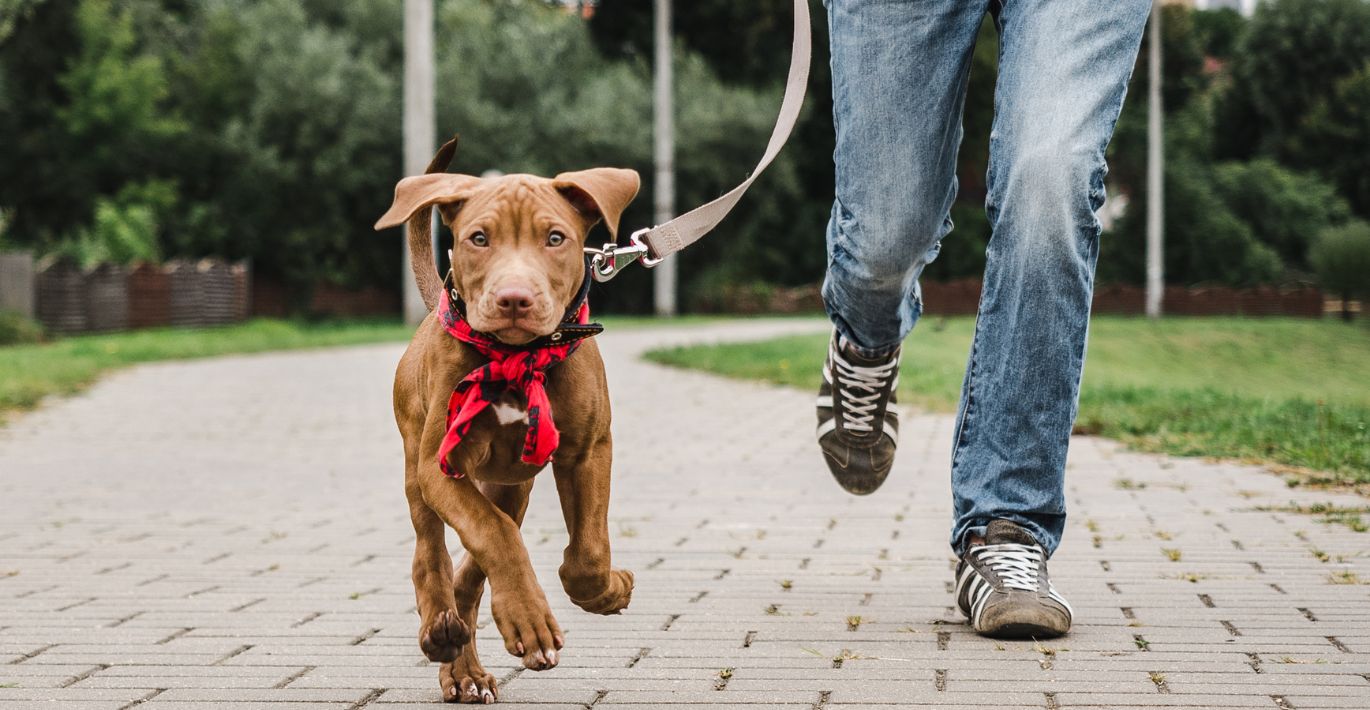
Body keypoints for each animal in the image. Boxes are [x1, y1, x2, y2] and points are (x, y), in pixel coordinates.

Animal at [378, 139, 638, 707]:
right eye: (479, 239)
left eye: (555, 238)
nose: (514, 299)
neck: (517, 357)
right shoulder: (441, 466)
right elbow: (492, 536)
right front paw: (529, 620)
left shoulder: (589, 450)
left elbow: (587, 552)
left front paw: (608, 590)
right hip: (415, 465)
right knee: (432, 554)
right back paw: (441, 630)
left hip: (511, 482)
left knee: (474, 565)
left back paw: (461, 662)